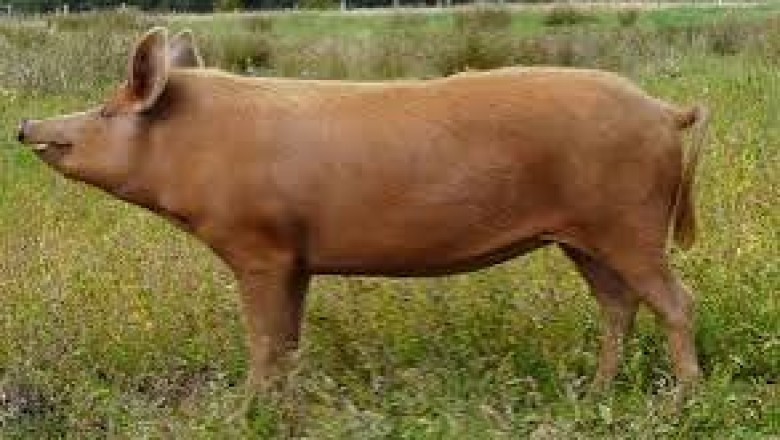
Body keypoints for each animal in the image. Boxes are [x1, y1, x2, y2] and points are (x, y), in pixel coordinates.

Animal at [17, 27, 710, 391]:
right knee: (619, 305)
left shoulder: (259, 245)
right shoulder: (296, 258)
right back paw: (595, 392)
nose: (25, 126)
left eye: (106, 109)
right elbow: (287, 340)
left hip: (630, 222)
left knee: (676, 301)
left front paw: (248, 409)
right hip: (582, 236)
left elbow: (263, 340)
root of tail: (664, 110)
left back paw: (682, 402)